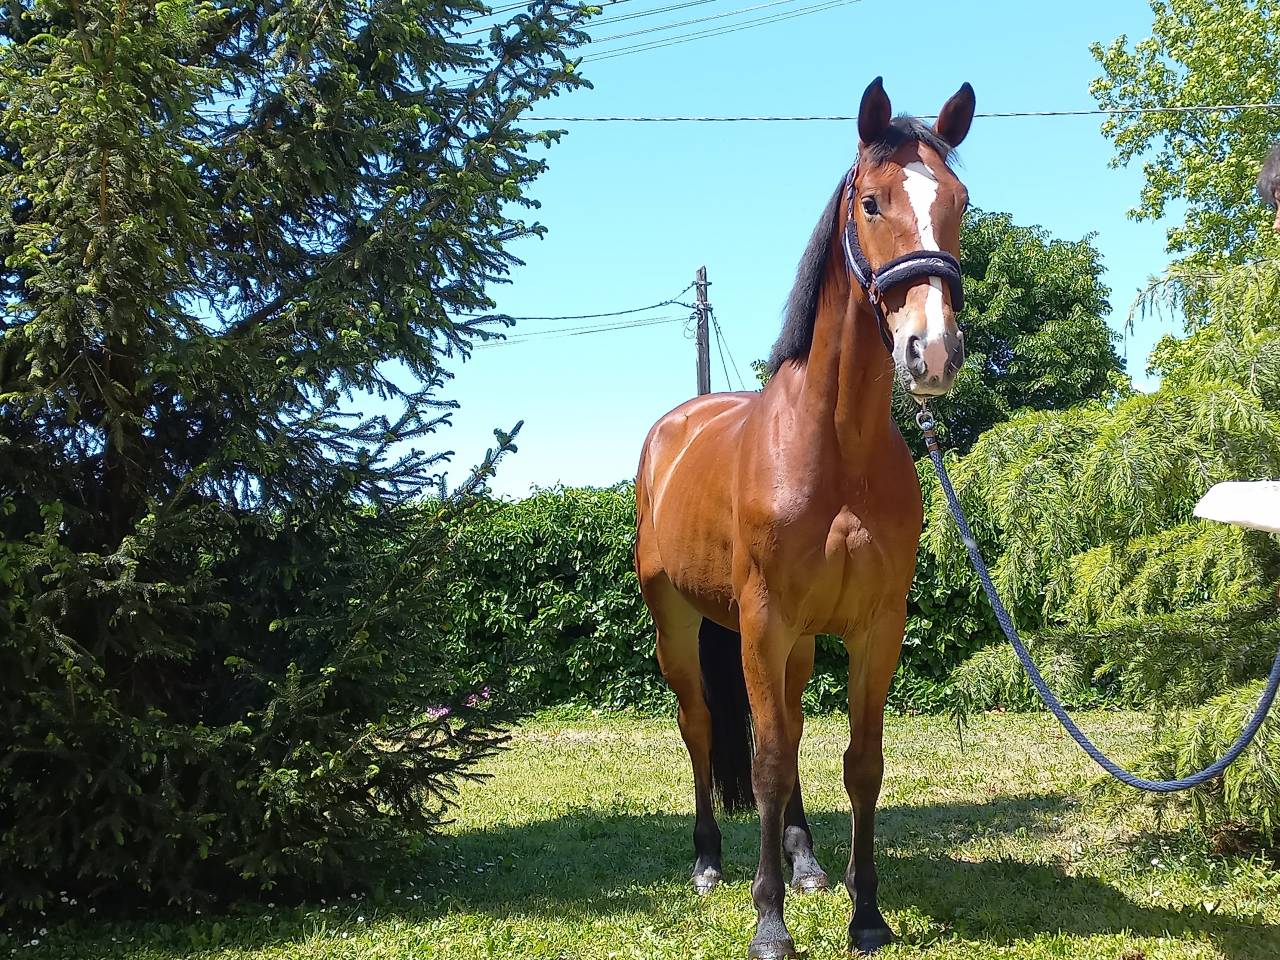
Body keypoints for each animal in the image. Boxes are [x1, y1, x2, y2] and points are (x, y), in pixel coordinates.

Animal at [634, 77, 975, 959]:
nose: (933, 351)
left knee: (785, 733)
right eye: (871, 201)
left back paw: (807, 861)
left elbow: (859, 762)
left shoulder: (872, 626)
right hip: (679, 626)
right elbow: (760, 761)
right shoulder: (762, 620)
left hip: (797, 645)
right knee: (700, 728)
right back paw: (709, 863)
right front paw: (769, 923)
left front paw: (866, 912)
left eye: (959, 202)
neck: (836, 446)